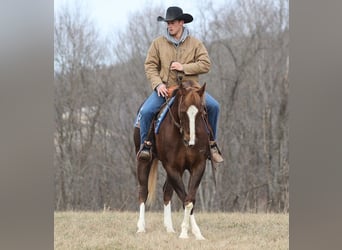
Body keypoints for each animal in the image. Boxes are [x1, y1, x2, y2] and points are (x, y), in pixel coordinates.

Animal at [134, 80, 211, 240]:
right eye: (182, 111)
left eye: (201, 112)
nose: (191, 140)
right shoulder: (172, 167)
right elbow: (186, 200)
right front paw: (184, 233)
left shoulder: (198, 166)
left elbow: (190, 200)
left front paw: (196, 233)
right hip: (143, 161)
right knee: (143, 190)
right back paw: (141, 227)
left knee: (166, 191)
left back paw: (169, 228)